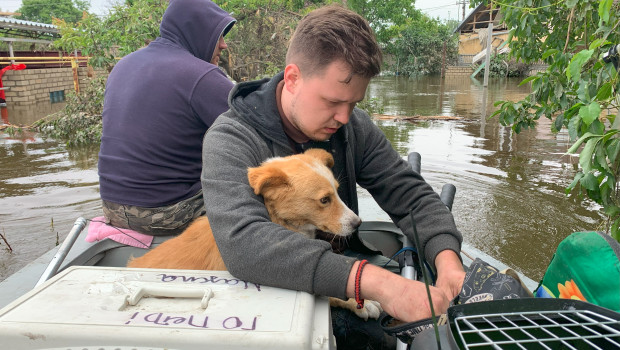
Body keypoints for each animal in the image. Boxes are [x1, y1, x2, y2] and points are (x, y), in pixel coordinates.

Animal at [128, 148, 382, 320]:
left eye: (337, 192)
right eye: (324, 200)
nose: (357, 223)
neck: (277, 218)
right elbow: (327, 289)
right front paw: (362, 302)